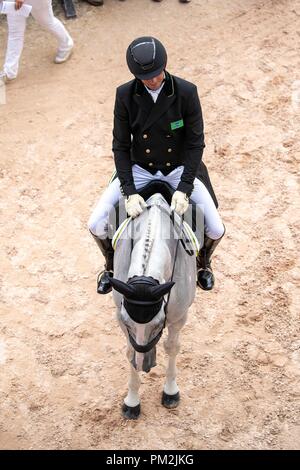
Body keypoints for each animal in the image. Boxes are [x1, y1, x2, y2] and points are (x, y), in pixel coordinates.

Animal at [109, 193, 198, 420]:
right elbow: (130, 352)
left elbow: (172, 347)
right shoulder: (120, 315)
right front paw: (132, 402)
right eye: (128, 324)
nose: (144, 366)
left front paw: (170, 392)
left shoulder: (179, 317)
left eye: (159, 324)